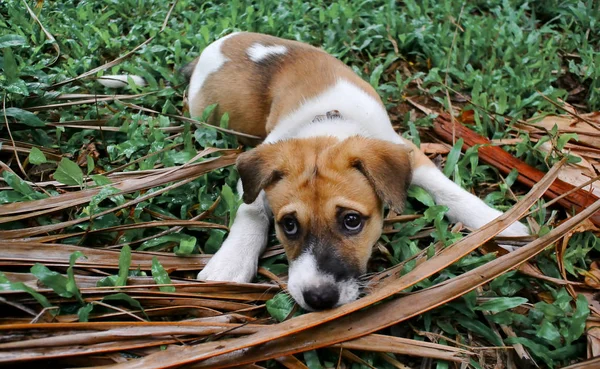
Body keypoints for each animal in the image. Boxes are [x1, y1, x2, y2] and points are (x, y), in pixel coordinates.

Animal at [188, 31, 528, 310]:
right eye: (289, 226)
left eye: (351, 221)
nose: (319, 298)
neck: (329, 126)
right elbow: (250, 209)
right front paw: (231, 261)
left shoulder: (407, 150)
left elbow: (448, 190)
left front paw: (500, 223)